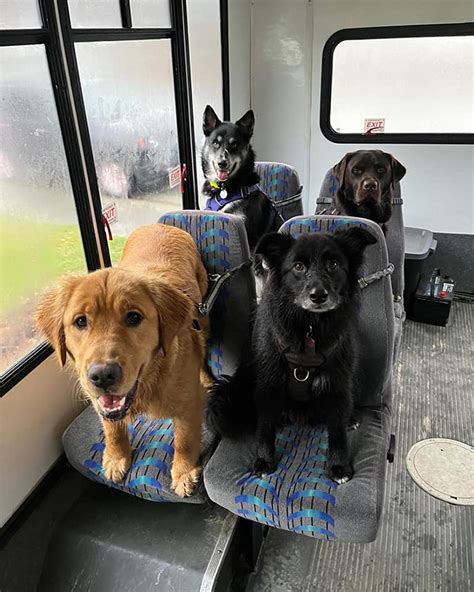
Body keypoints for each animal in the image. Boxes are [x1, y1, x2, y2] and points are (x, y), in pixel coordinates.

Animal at [206, 225, 376, 480]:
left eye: (333, 264)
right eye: (298, 266)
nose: (318, 295)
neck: (310, 328)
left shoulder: (337, 382)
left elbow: (337, 431)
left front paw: (339, 465)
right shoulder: (268, 383)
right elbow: (265, 428)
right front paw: (264, 461)